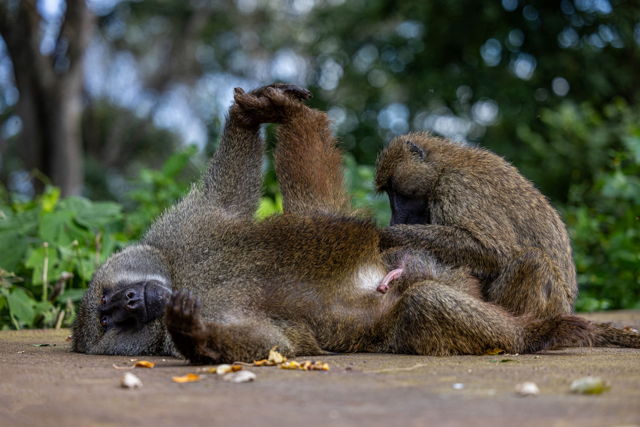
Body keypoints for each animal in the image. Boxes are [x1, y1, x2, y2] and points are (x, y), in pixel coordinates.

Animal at [375, 134, 577, 320]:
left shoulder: (456, 185)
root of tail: (567, 308)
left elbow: (492, 251)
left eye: (394, 190)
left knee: (533, 260)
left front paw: (385, 235)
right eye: (388, 191)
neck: (442, 166)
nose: (394, 219)